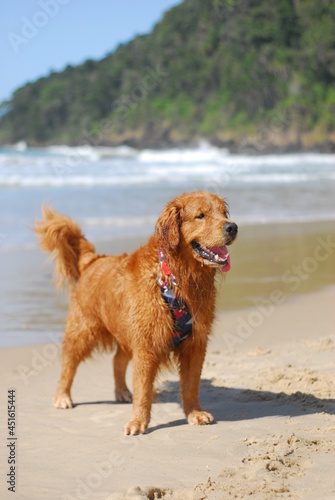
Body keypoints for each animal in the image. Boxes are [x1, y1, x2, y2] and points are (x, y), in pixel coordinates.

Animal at [34, 191, 239, 434]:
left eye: (224, 213)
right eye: (201, 215)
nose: (232, 227)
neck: (176, 278)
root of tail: (93, 259)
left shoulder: (195, 343)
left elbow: (190, 385)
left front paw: (194, 413)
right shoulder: (147, 345)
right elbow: (143, 389)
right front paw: (138, 422)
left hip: (126, 331)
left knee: (117, 360)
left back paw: (122, 392)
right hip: (83, 330)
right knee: (69, 363)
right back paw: (62, 396)